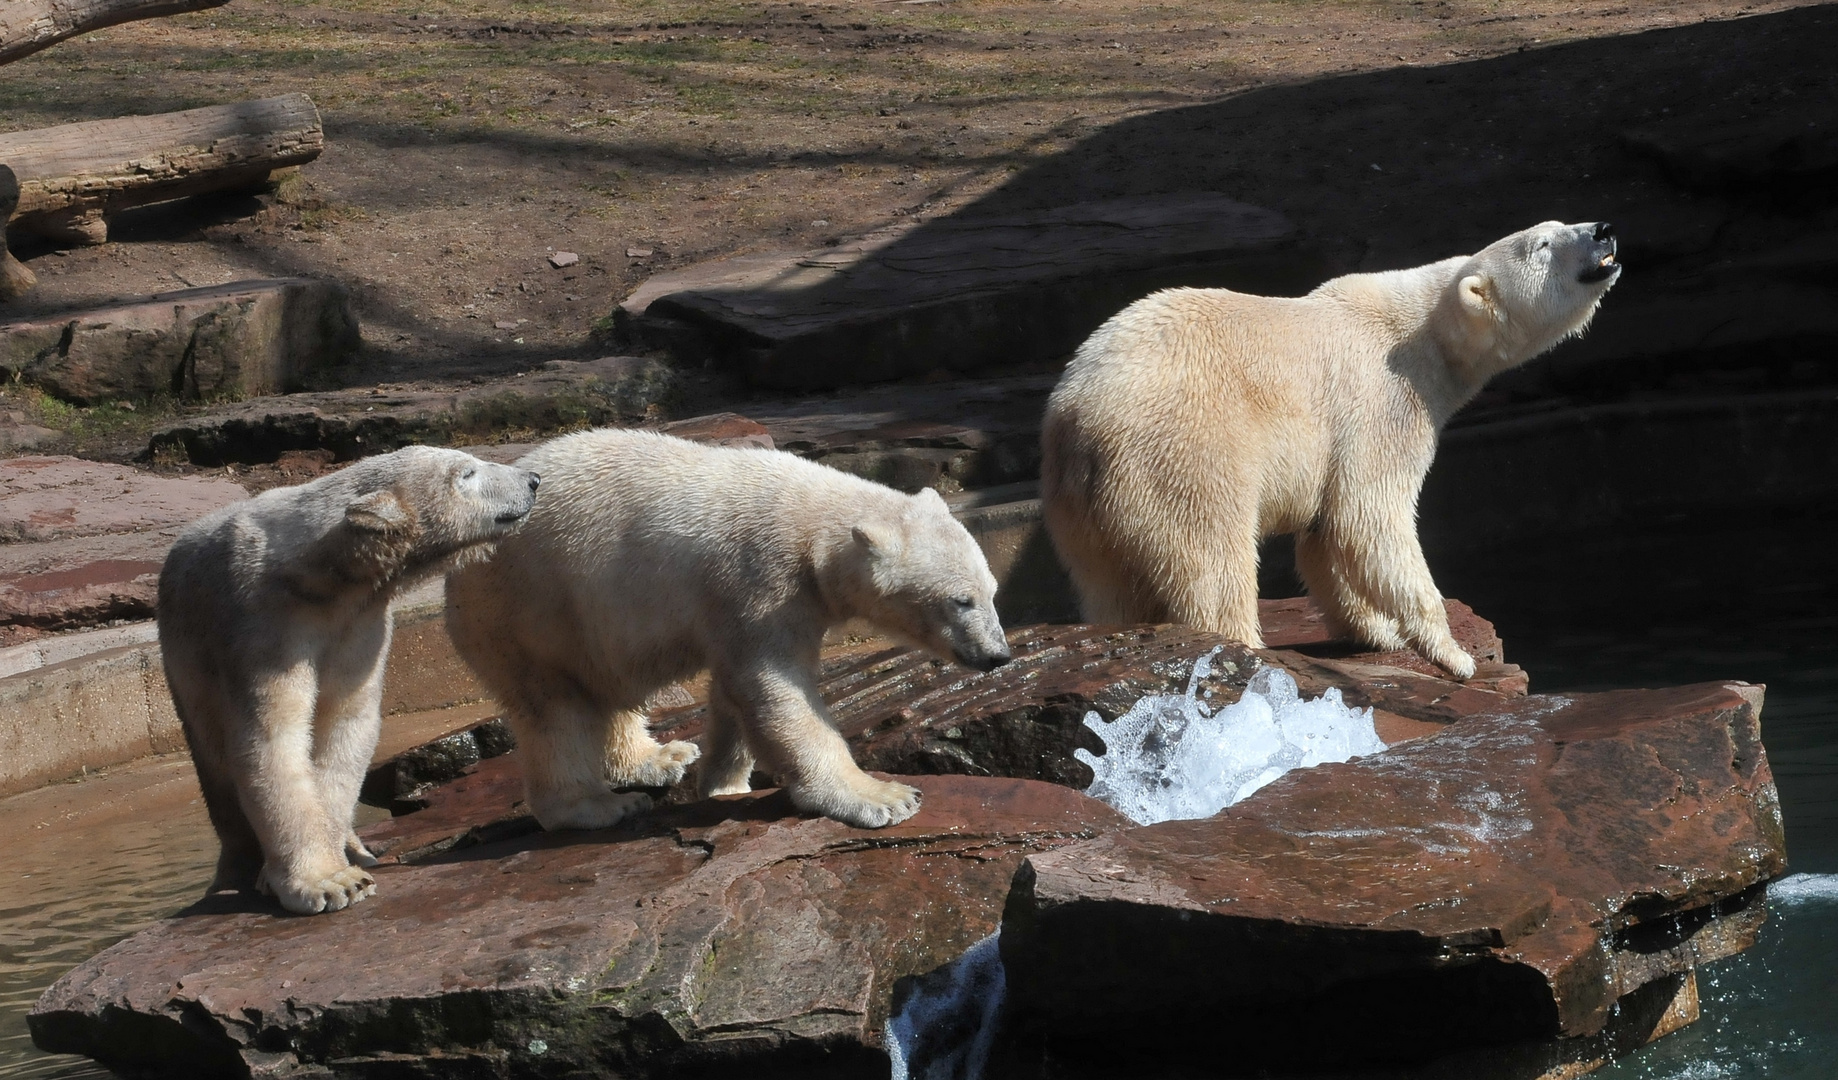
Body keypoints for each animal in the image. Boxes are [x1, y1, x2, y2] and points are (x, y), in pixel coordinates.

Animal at [158, 444, 536, 911]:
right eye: (466, 473)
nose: (533, 480)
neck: (319, 574)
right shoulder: (262, 624)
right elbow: (273, 738)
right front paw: (328, 883)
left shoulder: (360, 620)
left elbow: (345, 722)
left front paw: (345, 862)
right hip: (185, 655)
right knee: (213, 758)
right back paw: (233, 874)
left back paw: (356, 847)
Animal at [448, 426, 1021, 830]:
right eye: (960, 600)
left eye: (993, 591)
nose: (997, 655)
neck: (811, 518)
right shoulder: (760, 581)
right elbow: (775, 687)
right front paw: (883, 796)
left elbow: (732, 689)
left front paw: (723, 783)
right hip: (524, 606)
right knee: (554, 706)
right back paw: (596, 806)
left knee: (605, 689)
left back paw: (659, 757)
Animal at [1043, 219, 1617, 679]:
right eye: (1543, 243)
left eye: (1562, 222)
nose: (1604, 231)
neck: (1426, 325)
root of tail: (1078, 415)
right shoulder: (1385, 399)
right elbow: (1369, 515)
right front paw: (1455, 655)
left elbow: (1325, 537)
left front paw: (1377, 633)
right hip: (1184, 450)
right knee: (1211, 559)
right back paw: (1244, 650)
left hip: (1077, 506)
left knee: (1110, 585)